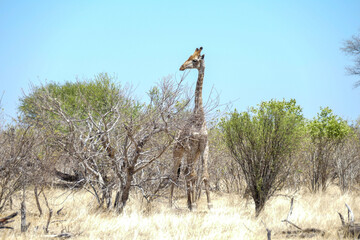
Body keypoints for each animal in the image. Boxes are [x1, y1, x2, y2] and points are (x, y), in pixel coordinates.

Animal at [170, 47, 212, 210]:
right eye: (189, 57)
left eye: (194, 60)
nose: (181, 67)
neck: (199, 118)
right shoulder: (191, 145)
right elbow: (193, 176)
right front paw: (194, 204)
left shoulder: (204, 146)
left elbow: (205, 176)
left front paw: (209, 204)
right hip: (178, 153)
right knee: (174, 174)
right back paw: (171, 203)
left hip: (192, 155)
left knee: (187, 173)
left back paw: (189, 202)